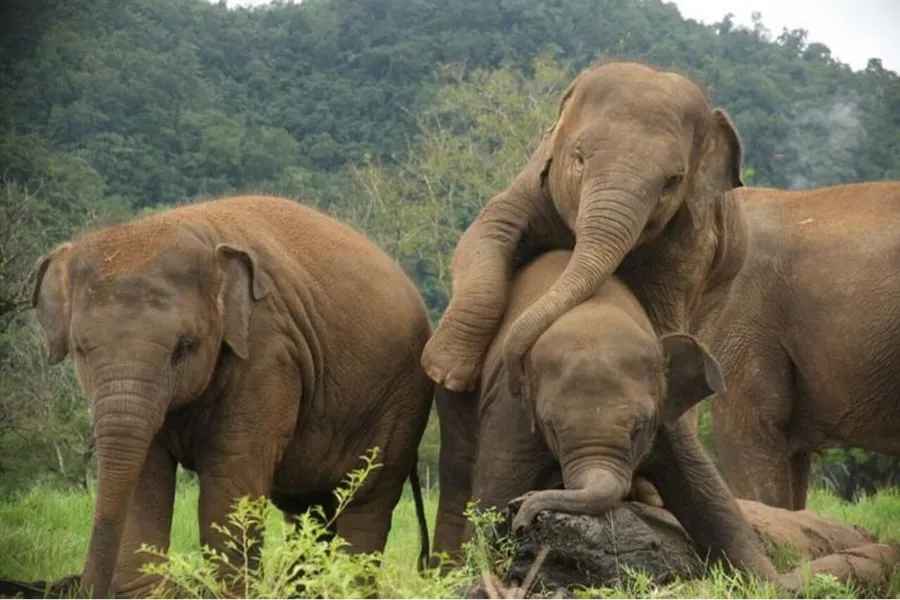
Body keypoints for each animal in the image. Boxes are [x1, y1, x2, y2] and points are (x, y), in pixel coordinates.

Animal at [29, 195, 433, 598]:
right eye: (80, 350)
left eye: (184, 347)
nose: (83, 587)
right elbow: (146, 473)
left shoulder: (268, 354)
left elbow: (230, 474)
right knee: (309, 510)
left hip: (399, 402)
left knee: (367, 500)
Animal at [420, 60, 749, 405]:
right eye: (578, 158)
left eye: (673, 181)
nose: (518, 381)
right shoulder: (535, 180)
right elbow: (490, 228)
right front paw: (445, 372)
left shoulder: (690, 239)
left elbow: (664, 313)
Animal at [432, 250, 778, 583]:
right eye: (551, 427)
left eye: (639, 429)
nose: (523, 514)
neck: (593, 312)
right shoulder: (510, 412)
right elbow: (492, 496)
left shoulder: (667, 419)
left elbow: (708, 495)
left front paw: (770, 581)